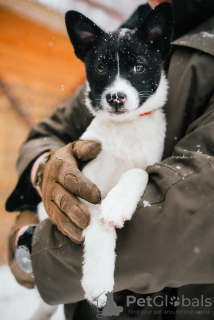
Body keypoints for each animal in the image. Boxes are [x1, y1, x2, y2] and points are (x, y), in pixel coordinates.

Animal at [64, 3, 173, 308]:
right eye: (100, 67)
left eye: (139, 67)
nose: (115, 98)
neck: (125, 129)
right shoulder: (85, 185)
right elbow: (98, 225)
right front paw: (98, 281)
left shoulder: (149, 164)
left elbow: (136, 171)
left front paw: (117, 203)